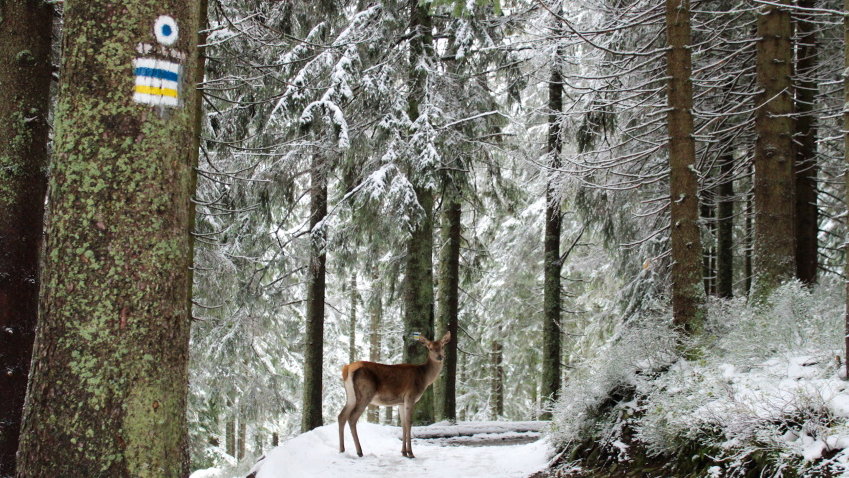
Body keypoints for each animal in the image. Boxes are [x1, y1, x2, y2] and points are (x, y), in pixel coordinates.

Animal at [338, 330, 454, 458]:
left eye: (442, 346)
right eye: (430, 348)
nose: (440, 356)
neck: (424, 377)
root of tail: (347, 369)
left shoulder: (401, 402)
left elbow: (403, 424)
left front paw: (403, 452)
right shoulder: (410, 396)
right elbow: (409, 422)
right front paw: (411, 453)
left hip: (351, 396)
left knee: (341, 416)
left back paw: (342, 449)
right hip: (365, 392)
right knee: (352, 417)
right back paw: (359, 451)